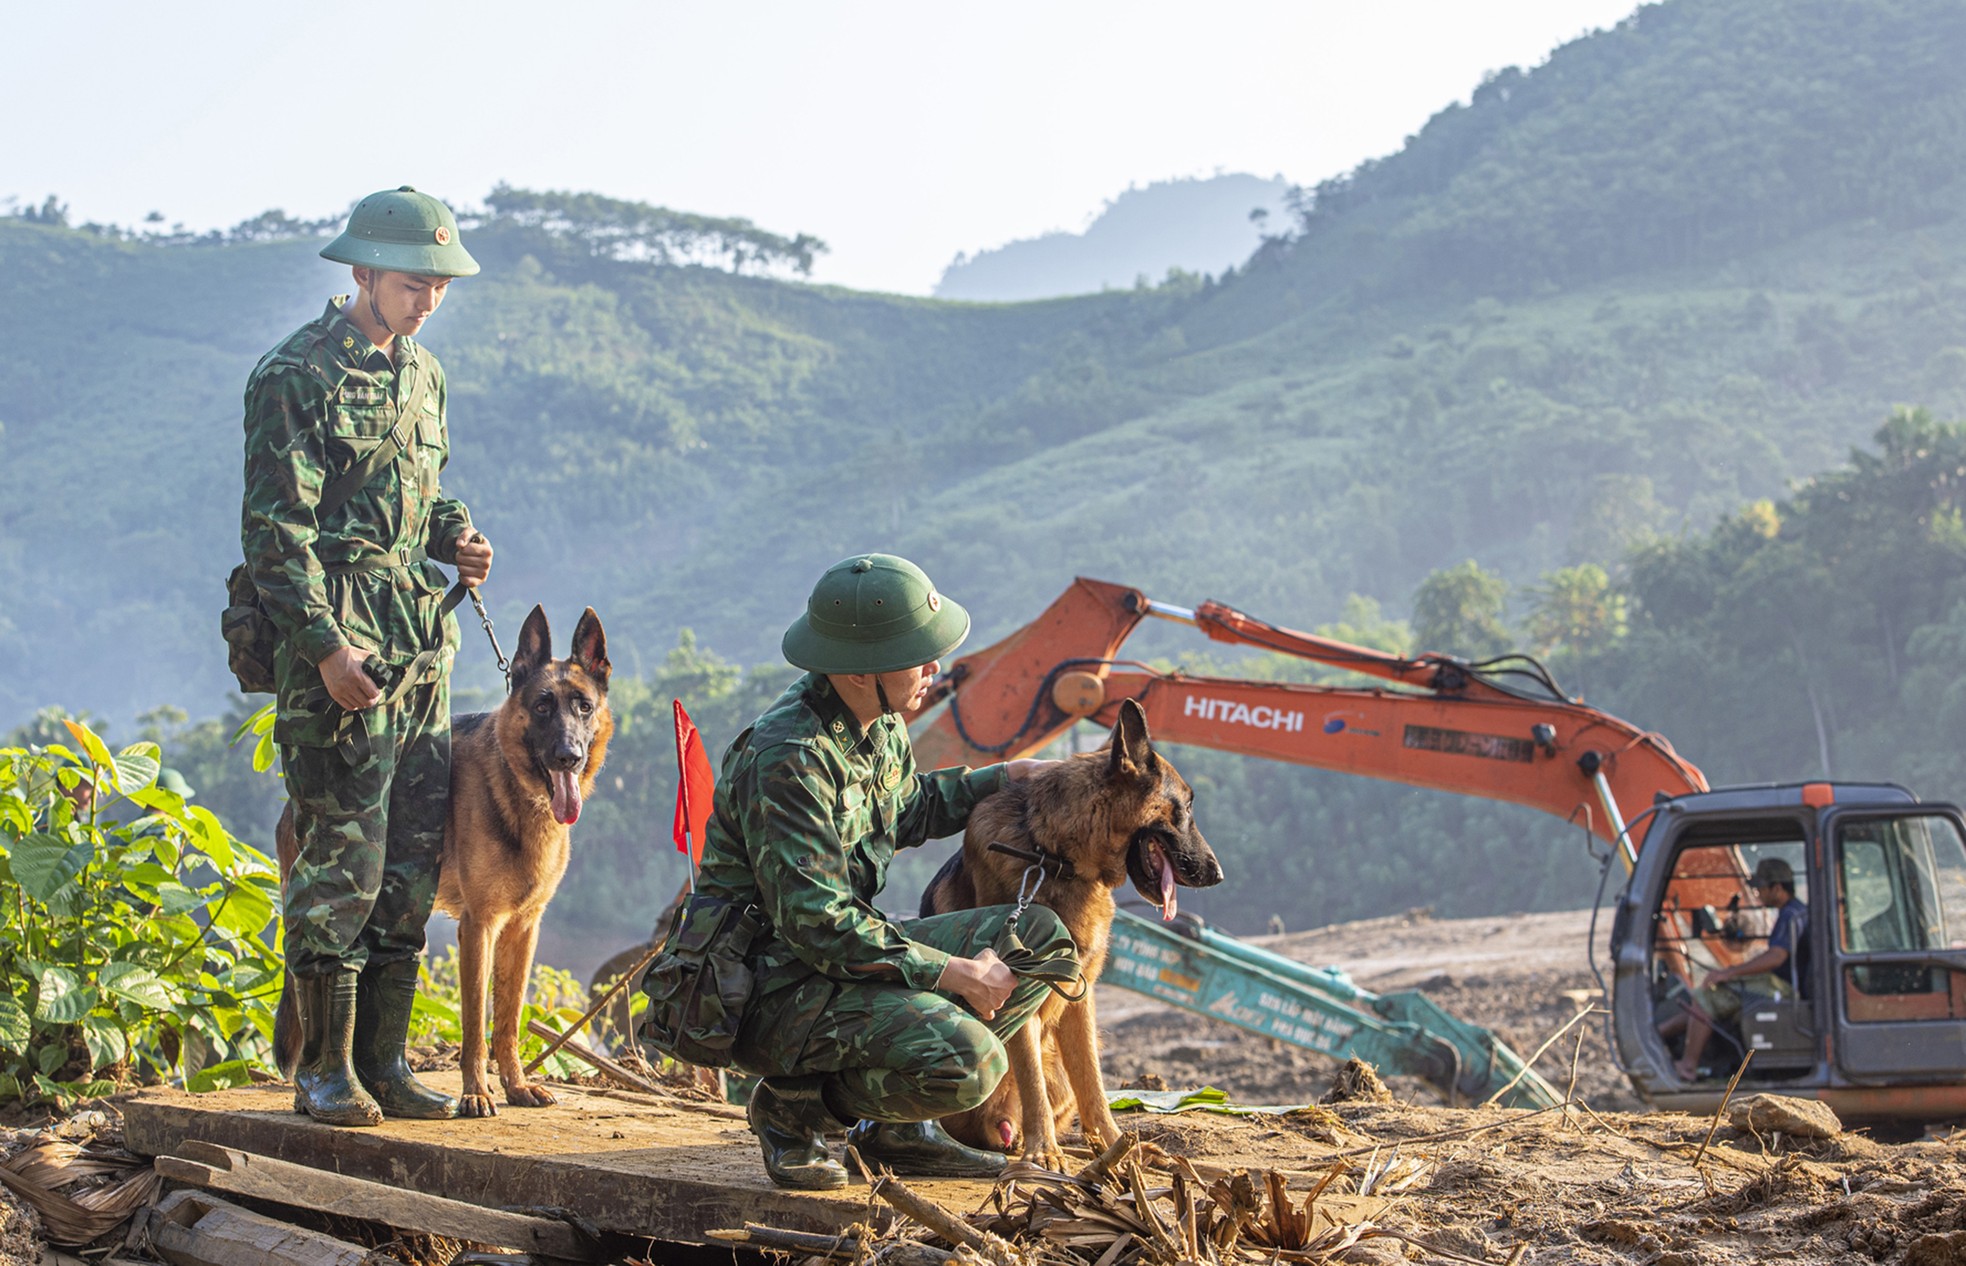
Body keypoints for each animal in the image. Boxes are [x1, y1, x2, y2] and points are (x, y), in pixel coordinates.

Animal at [277, 601, 609, 1116]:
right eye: (541, 707)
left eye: (584, 707)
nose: (568, 757)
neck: (518, 794)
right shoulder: (478, 926)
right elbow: (474, 1021)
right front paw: (476, 1092)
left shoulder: (523, 928)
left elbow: (508, 1019)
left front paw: (516, 1085)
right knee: (311, 968)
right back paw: (322, 1089)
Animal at [916, 695, 1211, 1163]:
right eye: (1185, 808)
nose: (1218, 874)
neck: (1053, 856)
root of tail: (999, 1127)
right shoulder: (1017, 986)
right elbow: (1032, 1077)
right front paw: (1044, 1152)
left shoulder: (1081, 996)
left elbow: (1093, 1082)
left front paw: (1115, 1144)